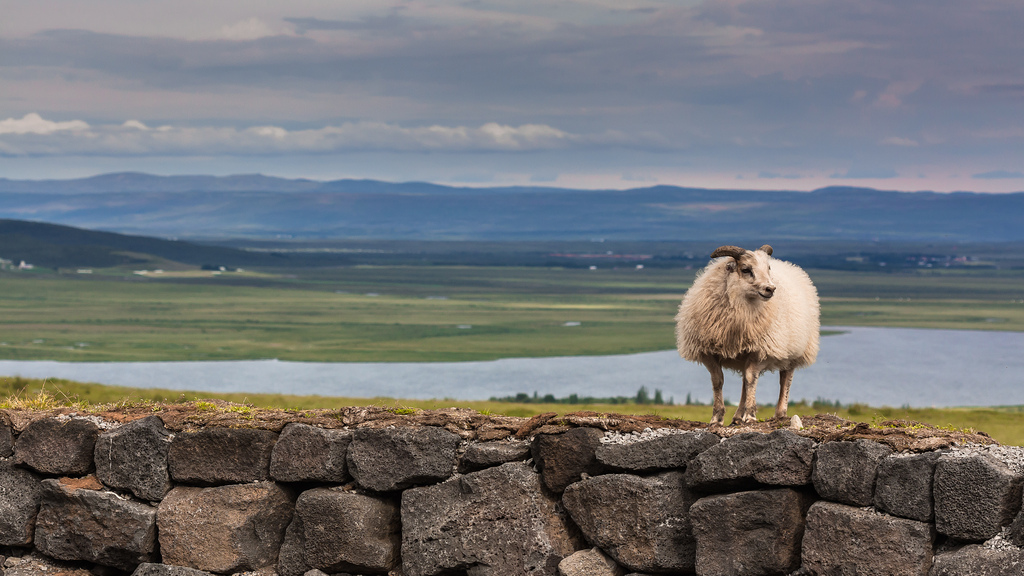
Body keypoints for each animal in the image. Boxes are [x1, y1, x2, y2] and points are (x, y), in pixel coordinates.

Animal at [675, 241, 819, 422]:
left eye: (768, 268)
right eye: (745, 269)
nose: (770, 289)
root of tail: (790, 266)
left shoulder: (759, 349)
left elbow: (752, 380)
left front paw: (750, 415)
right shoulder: (708, 351)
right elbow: (718, 381)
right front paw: (717, 418)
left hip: (794, 350)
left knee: (785, 379)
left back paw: (779, 413)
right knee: (745, 381)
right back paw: (737, 417)